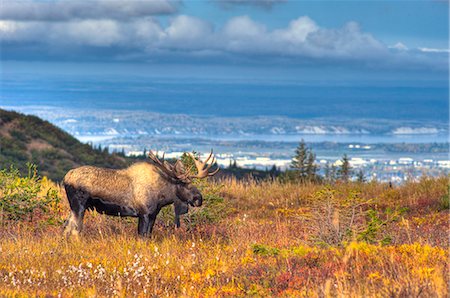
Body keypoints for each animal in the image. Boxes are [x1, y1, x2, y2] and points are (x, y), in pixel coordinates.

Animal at [62, 150, 219, 236]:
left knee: (66, 227)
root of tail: (66, 177)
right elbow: (142, 236)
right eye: (183, 184)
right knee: (74, 229)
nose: (199, 198)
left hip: (74, 207)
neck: (162, 197)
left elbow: (148, 236)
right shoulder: (144, 214)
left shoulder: (153, 215)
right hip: (79, 206)